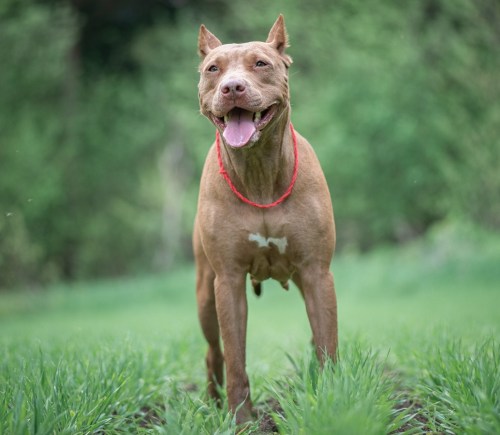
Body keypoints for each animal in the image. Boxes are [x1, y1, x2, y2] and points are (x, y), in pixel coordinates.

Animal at [193, 15, 338, 424]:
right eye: (213, 69)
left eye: (260, 63)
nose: (232, 87)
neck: (258, 173)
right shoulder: (227, 282)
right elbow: (236, 358)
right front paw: (240, 420)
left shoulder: (317, 272)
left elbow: (327, 343)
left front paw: (333, 401)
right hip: (204, 294)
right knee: (214, 352)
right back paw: (213, 401)